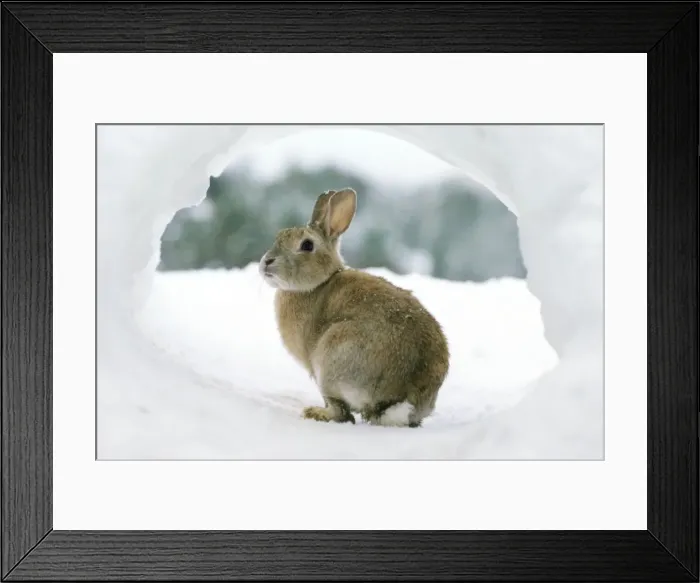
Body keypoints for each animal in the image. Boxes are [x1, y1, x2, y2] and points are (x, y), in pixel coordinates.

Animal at [259, 187, 449, 428]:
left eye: (307, 245)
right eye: (279, 236)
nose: (267, 262)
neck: (318, 283)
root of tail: (402, 399)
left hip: (331, 360)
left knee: (341, 413)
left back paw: (315, 413)